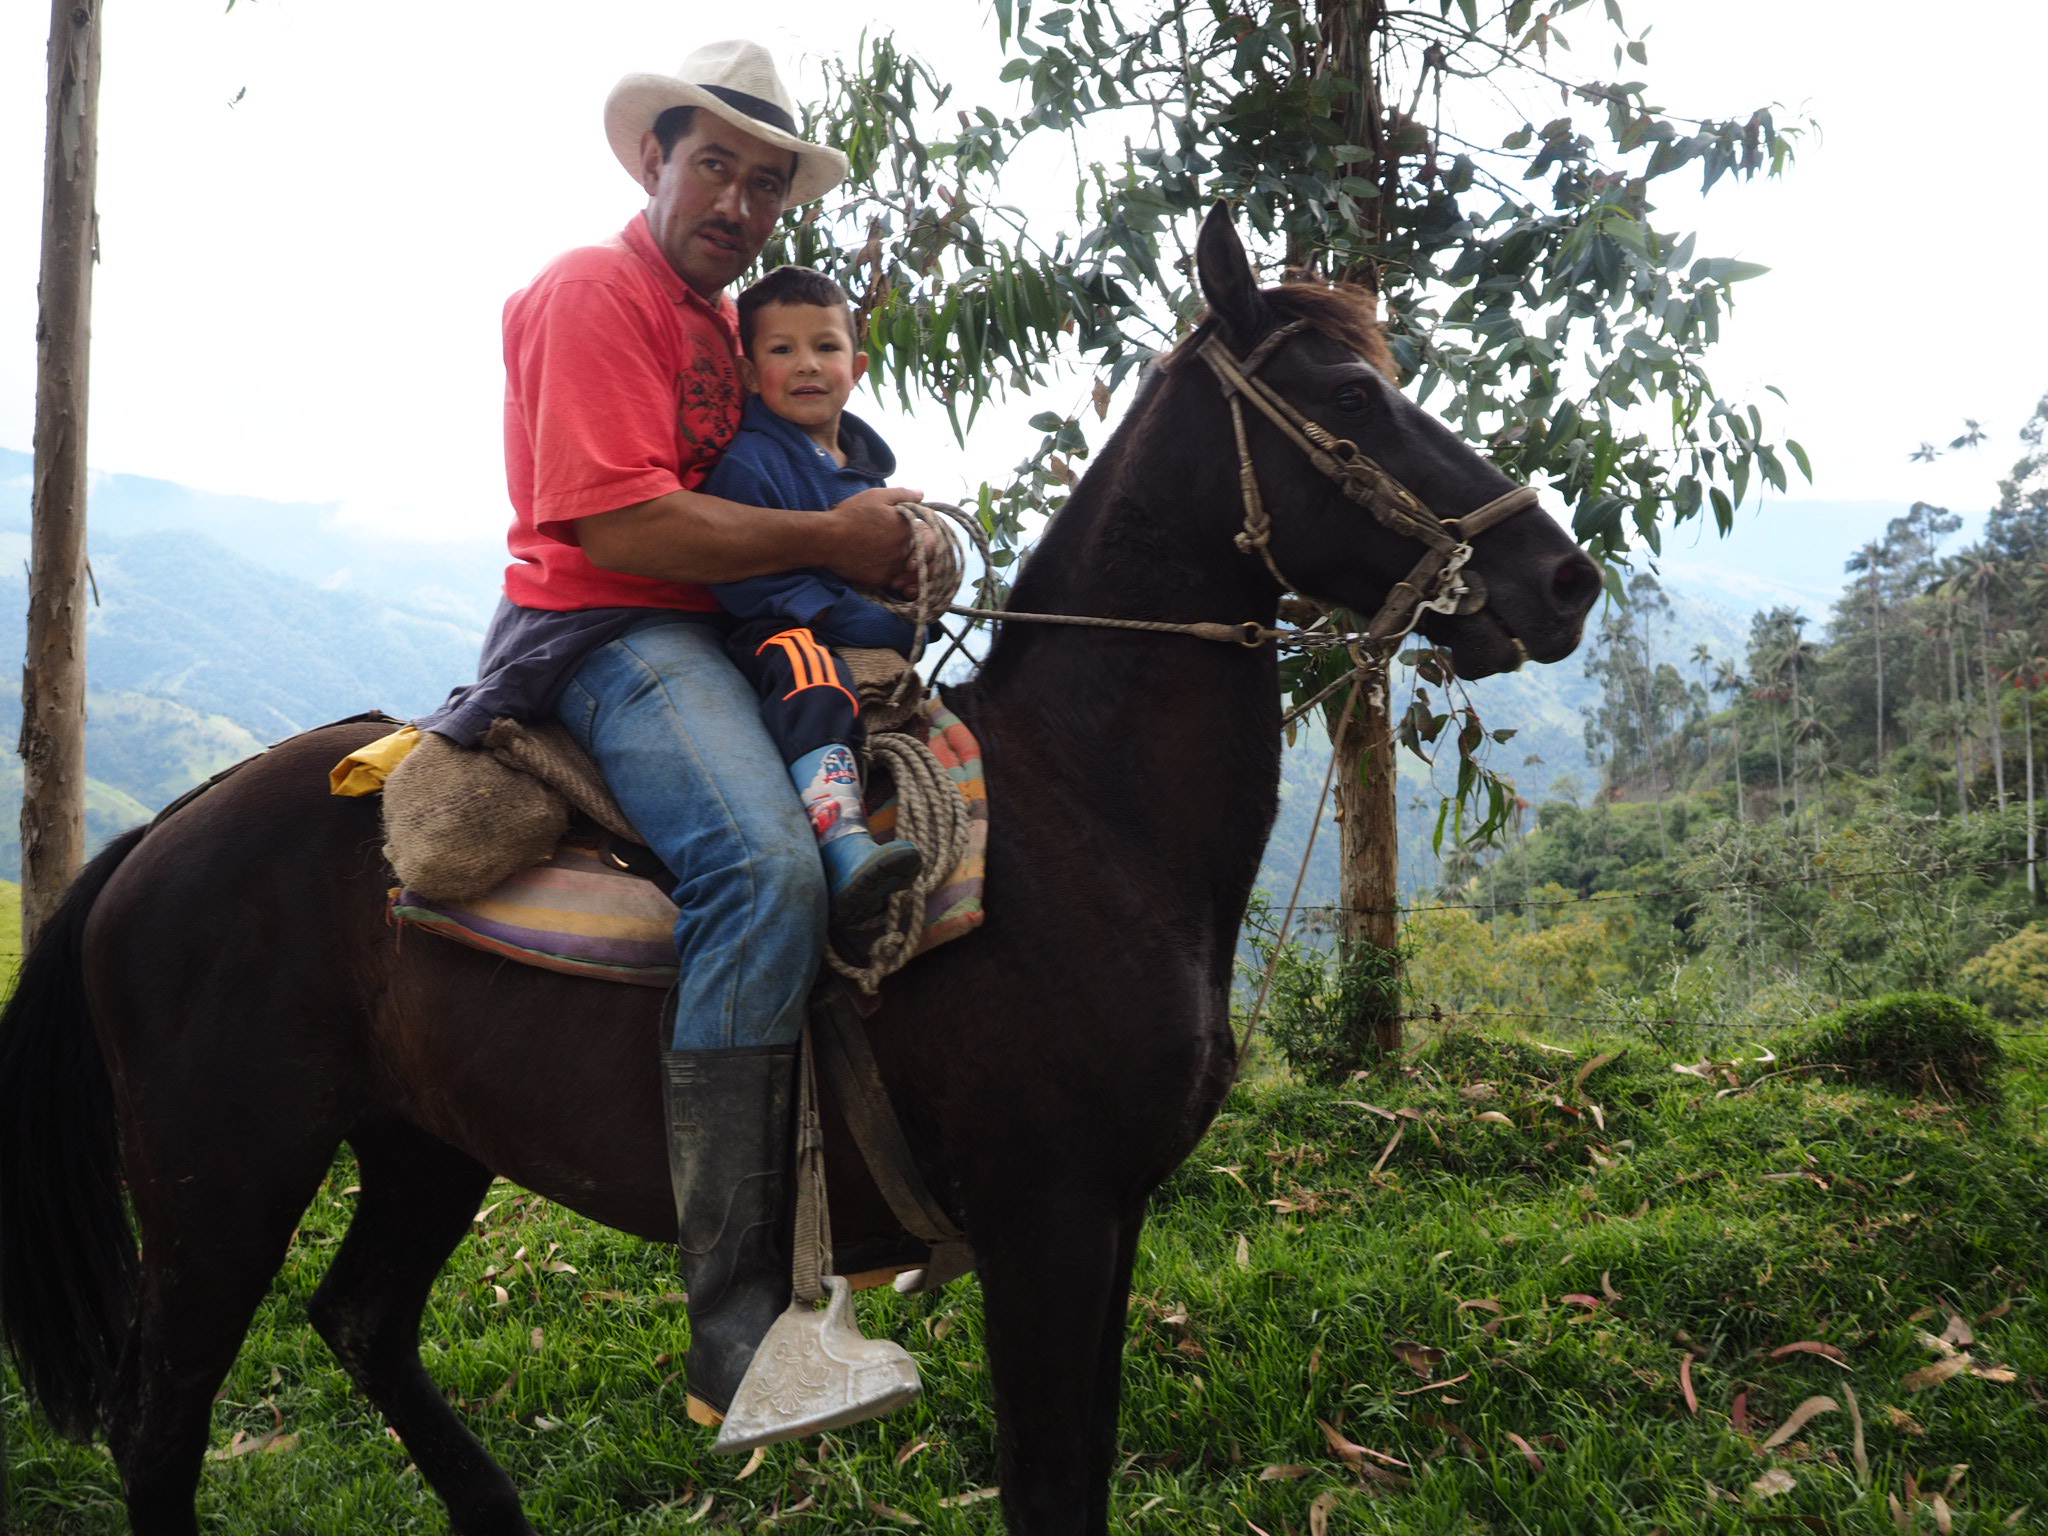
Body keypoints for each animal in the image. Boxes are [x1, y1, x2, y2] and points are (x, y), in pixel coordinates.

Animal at [0, 203, 1599, 1535]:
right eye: (1351, 398)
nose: (1562, 580)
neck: (1082, 817)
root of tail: (162, 838)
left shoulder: (1114, 1219)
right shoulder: (1048, 1220)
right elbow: (1048, 1486)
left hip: (421, 1141)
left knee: (363, 1324)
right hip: (220, 1175)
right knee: (166, 1423)